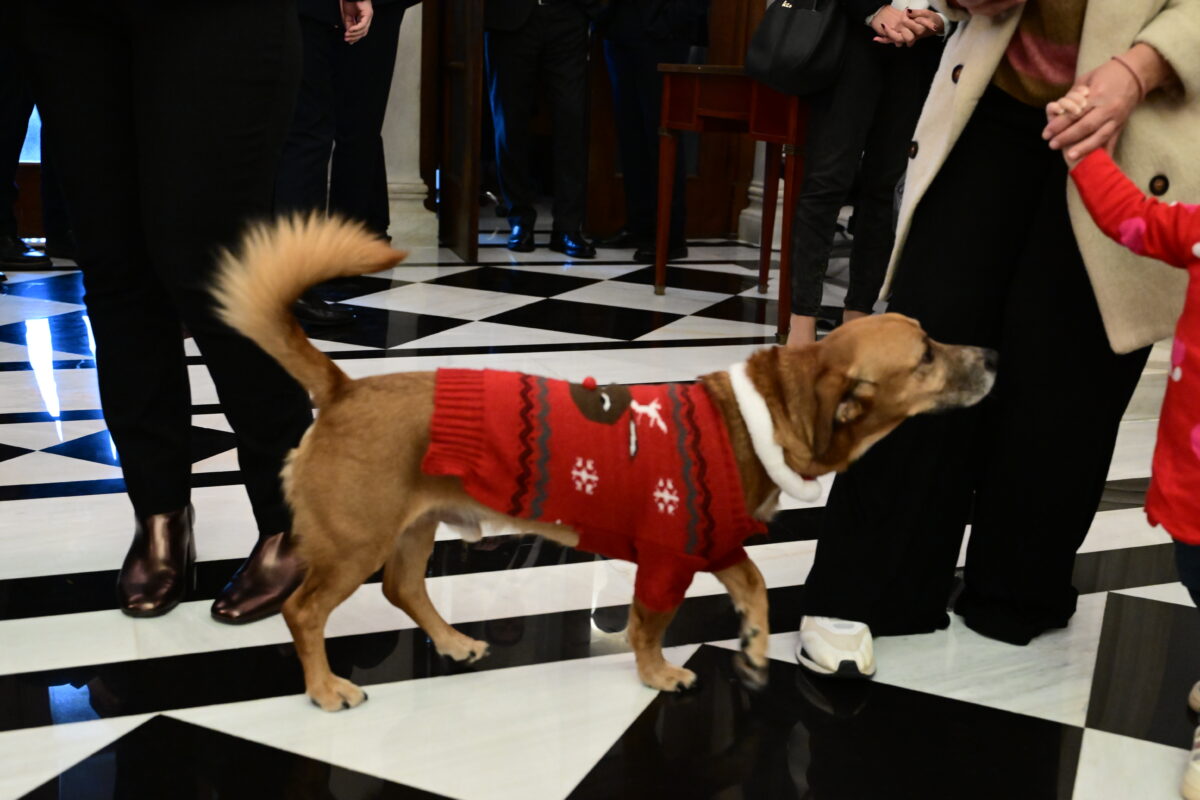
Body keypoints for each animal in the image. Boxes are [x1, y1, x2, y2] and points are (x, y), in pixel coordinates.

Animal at [213, 215, 993, 710]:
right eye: (925, 356)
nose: (991, 355)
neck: (761, 413)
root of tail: (343, 387)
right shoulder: (669, 561)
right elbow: (650, 624)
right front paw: (658, 674)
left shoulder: (717, 545)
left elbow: (756, 588)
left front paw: (753, 644)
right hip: (355, 542)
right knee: (305, 611)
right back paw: (323, 688)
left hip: (414, 527)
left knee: (405, 590)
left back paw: (452, 642)